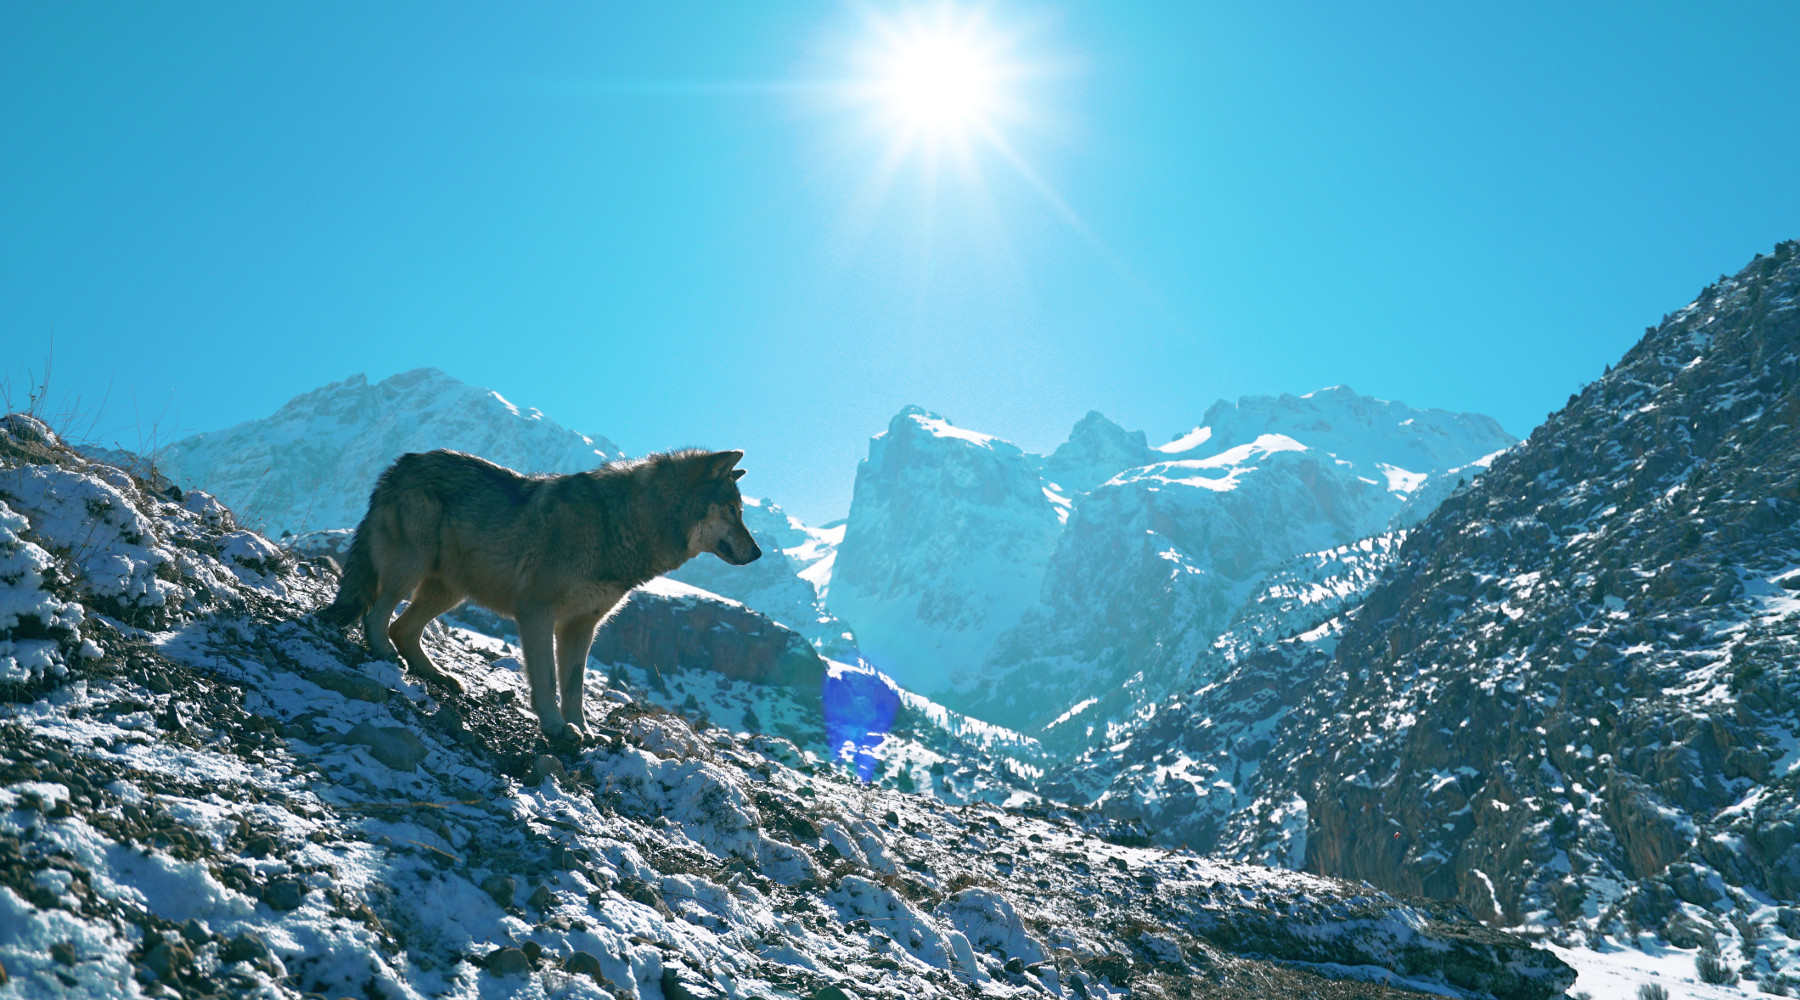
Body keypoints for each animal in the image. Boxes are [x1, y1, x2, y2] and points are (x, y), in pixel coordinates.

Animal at [316, 448, 761, 740]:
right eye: (733, 511)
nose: (757, 553)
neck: (618, 525)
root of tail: (400, 463)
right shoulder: (537, 614)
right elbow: (547, 678)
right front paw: (555, 727)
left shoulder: (581, 627)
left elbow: (575, 685)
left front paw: (582, 729)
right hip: (412, 568)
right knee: (378, 615)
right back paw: (384, 655)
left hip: (450, 592)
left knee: (404, 628)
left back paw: (438, 675)